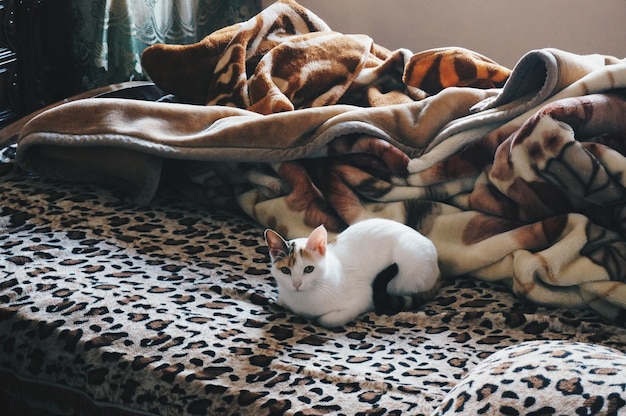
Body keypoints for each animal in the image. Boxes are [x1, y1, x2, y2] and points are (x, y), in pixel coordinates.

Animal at [264, 218, 438, 328]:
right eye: (285, 270)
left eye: (308, 269)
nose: (297, 284)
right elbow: (281, 301)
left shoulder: (362, 299)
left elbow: (326, 320)